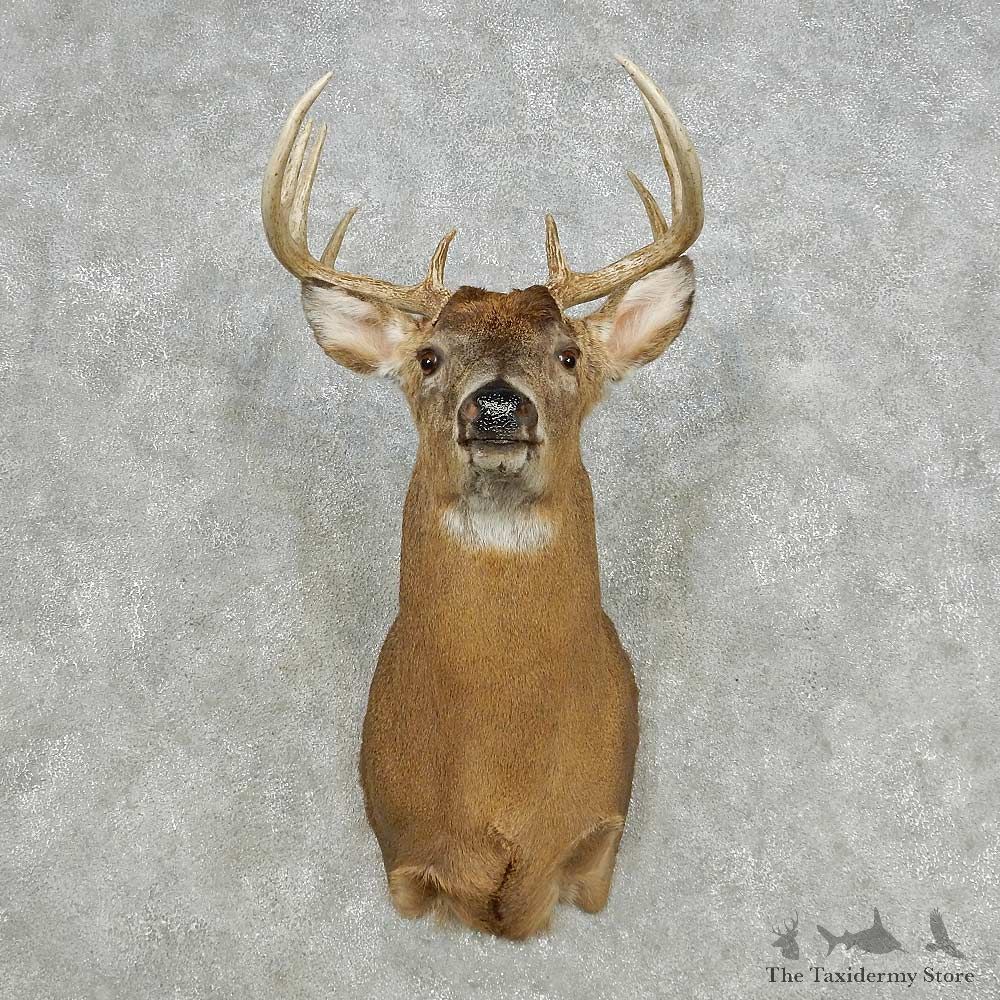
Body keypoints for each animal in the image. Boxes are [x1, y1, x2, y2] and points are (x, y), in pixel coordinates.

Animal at [260, 54, 704, 939]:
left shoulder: (598, 838)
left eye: (569, 354)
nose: (497, 406)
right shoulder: (403, 852)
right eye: (429, 356)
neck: (501, 791)